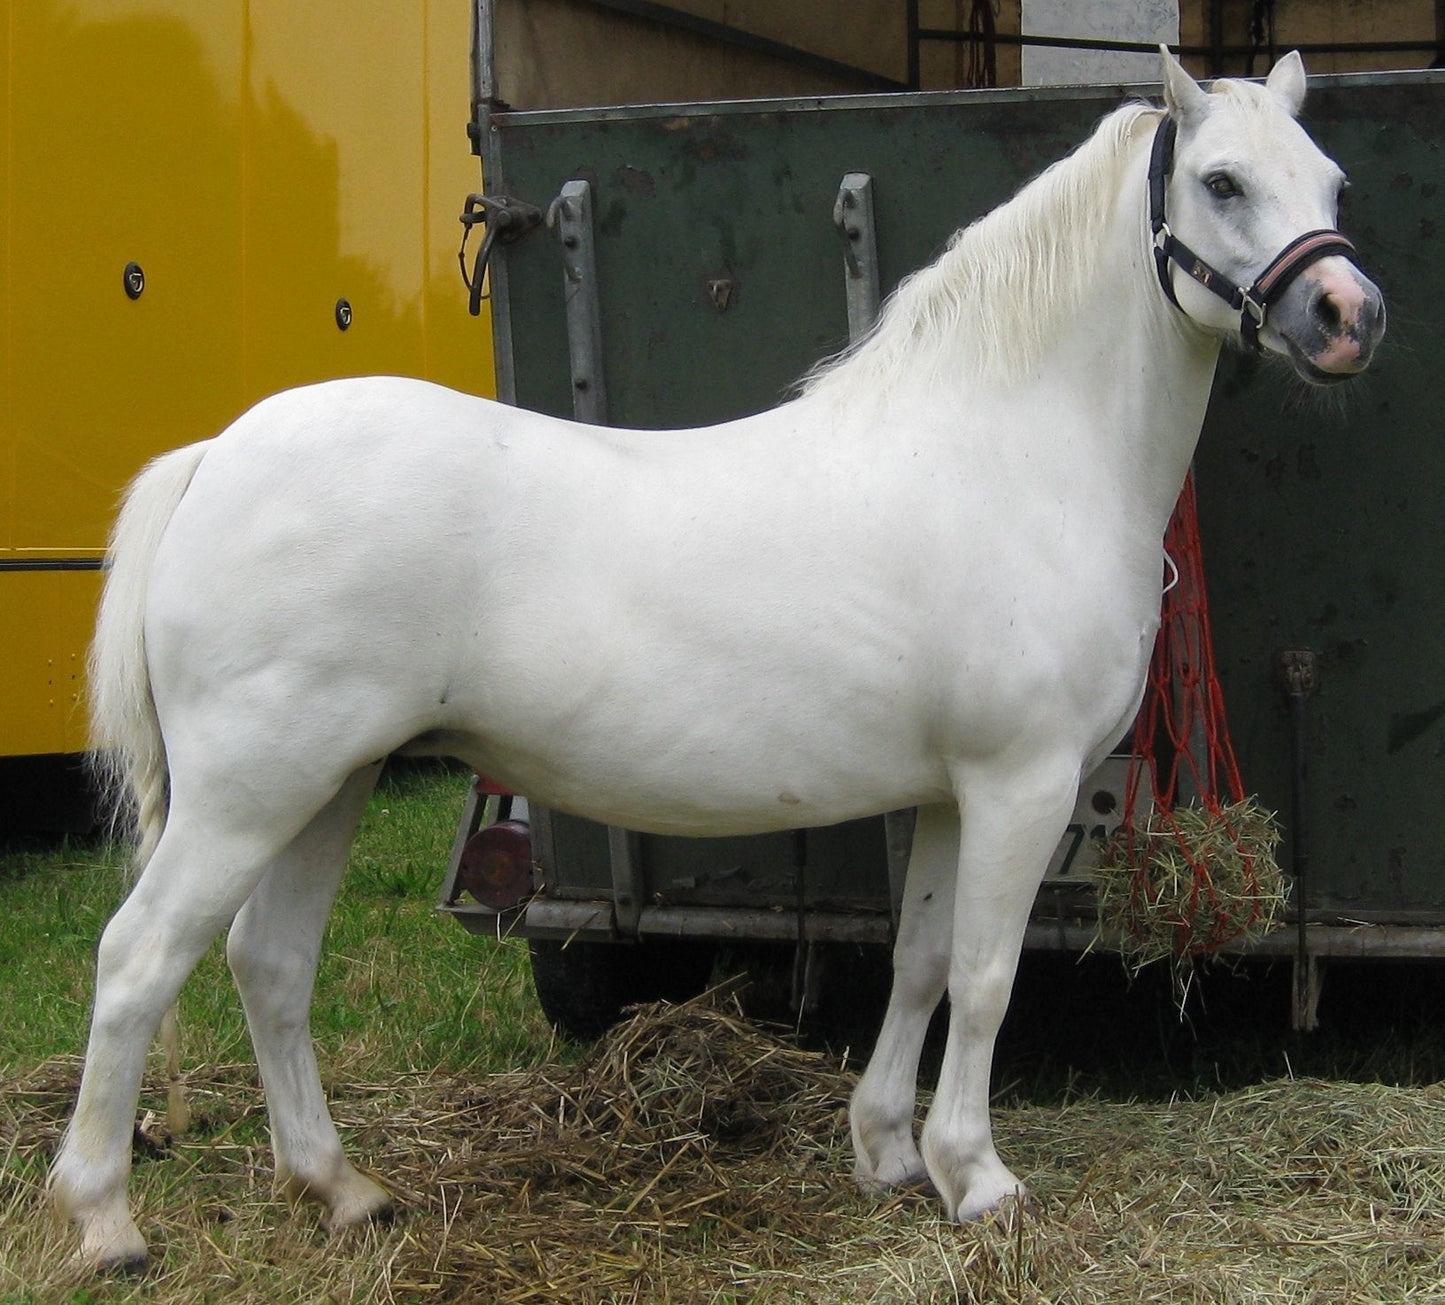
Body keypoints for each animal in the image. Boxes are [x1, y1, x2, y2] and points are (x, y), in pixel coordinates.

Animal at [51, 49, 1383, 1270]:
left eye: (1327, 178)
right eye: (1218, 181)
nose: (1346, 316)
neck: (1007, 448)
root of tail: (218, 455)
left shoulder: (951, 794)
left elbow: (919, 961)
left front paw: (888, 1153)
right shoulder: (1021, 781)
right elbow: (988, 974)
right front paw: (978, 1178)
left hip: (329, 784)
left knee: (268, 965)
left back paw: (341, 1190)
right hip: (252, 790)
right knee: (138, 962)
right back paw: (105, 1221)